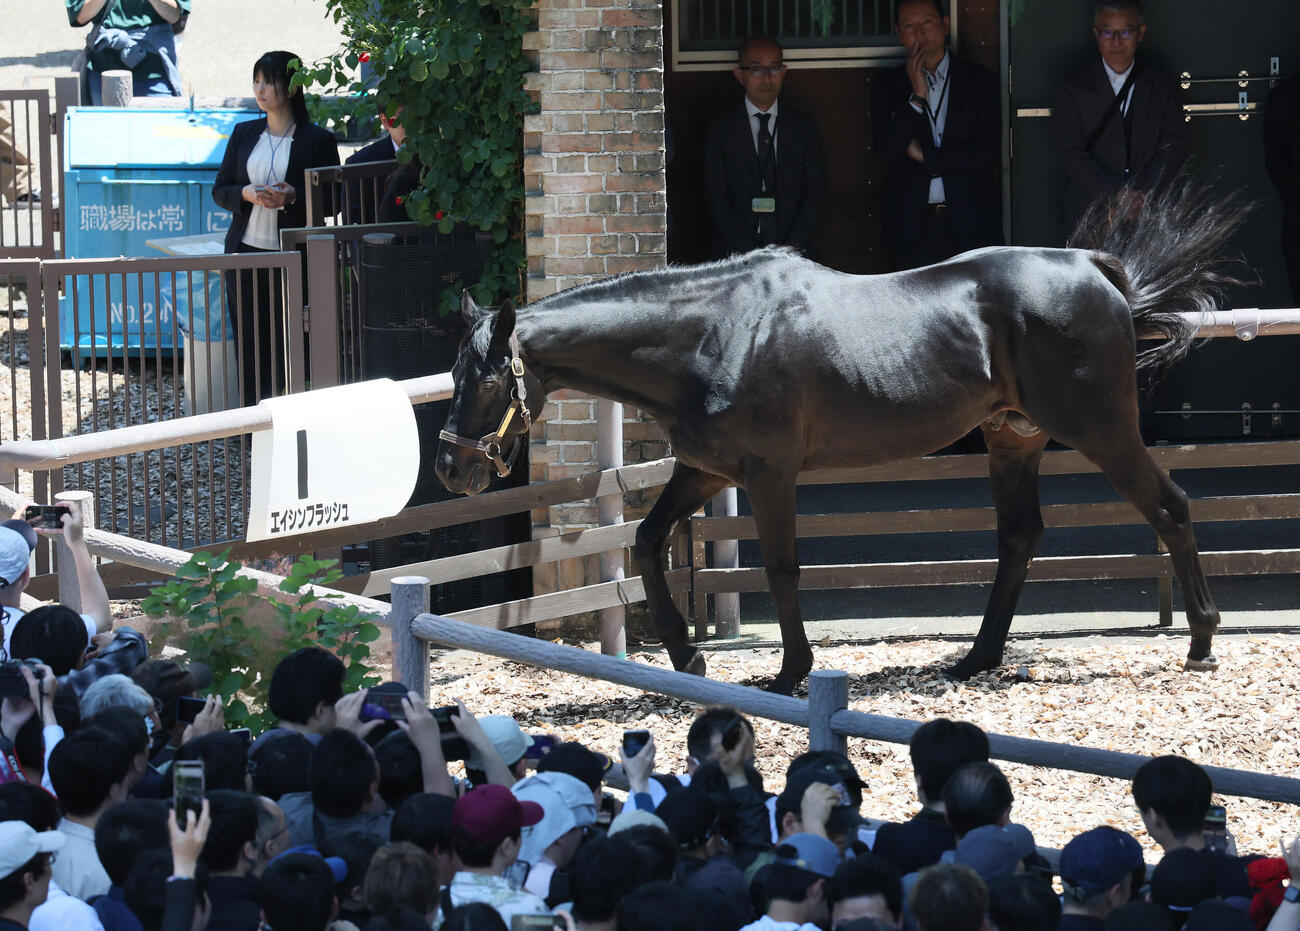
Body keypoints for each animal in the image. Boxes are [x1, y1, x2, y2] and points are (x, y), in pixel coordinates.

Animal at [435, 180, 1250, 694]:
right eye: (451, 372)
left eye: (485, 380)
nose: (450, 467)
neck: (711, 334)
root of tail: (1095, 268)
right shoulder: (705, 470)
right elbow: (643, 543)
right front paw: (686, 656)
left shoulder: (767, 474)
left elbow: (783, 569)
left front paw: (791, 671)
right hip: (1012, 439)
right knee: (1020, 536)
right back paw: (974, 660)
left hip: (1100, 430)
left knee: (1171, 507)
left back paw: (1203, 641)